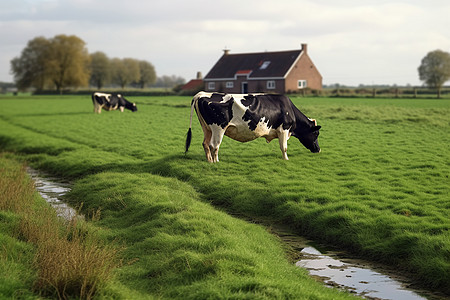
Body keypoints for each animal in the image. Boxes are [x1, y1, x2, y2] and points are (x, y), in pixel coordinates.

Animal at [185, 91, 322, 163]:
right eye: (316, 134)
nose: (318, 149)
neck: (289, 109)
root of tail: (202, 94)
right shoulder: (284, 129)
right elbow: (284, 147)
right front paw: (286, 159)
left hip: (207, 128)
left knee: (205, 144)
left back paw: (209, 161)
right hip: (218, 128)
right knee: (214, 145)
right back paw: (216, 162)